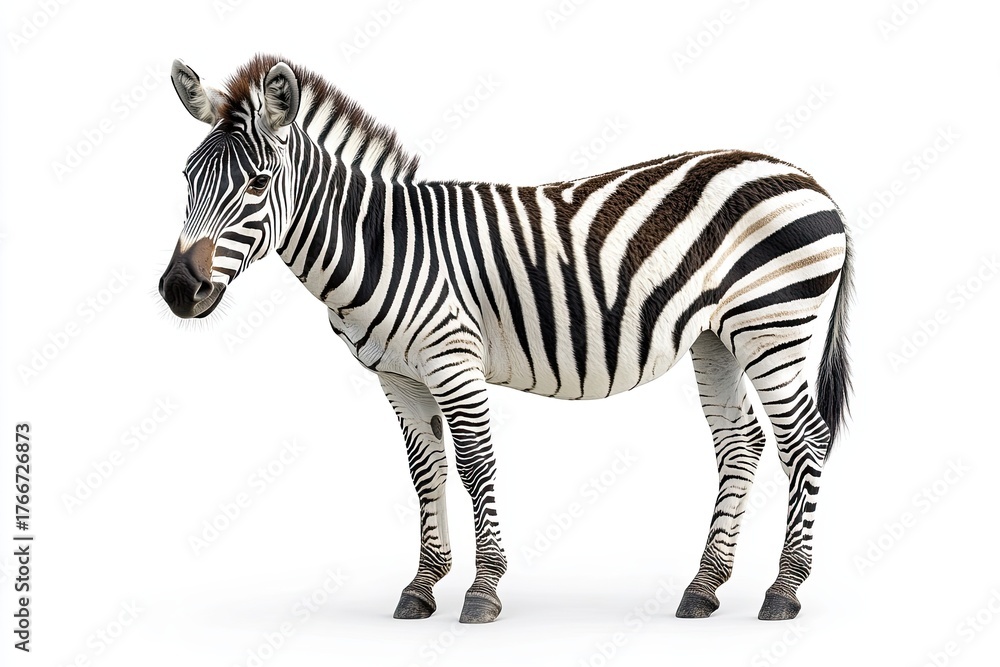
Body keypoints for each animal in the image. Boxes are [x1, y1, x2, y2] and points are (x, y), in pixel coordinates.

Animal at [159, 55, 852, 623]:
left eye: (255, 184)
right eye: (186, 178)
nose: (176, 291)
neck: (382, 246)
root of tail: (810, 179)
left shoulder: (452, 359)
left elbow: (474, 463)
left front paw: (482, 589)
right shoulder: (399, 375)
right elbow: (425, 471)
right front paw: (422, 586)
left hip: (772, 324)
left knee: (804, 441)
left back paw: (784, 590)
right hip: (717, 338)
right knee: (742, 443)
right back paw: (704, 588)